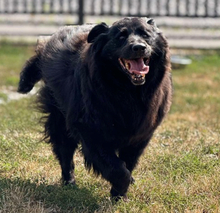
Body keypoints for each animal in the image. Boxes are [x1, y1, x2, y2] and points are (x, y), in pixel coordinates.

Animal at [18, 17, 172, 201]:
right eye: (121, 36)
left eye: (146, 35)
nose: (139, 47)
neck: (127, 92)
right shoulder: (91, 133)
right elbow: (117, 169)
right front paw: (119, 192)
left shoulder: (140, 136)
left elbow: (128, 163)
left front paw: (120, 193)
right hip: (60, 120)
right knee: (65, 152)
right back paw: (69, 182)